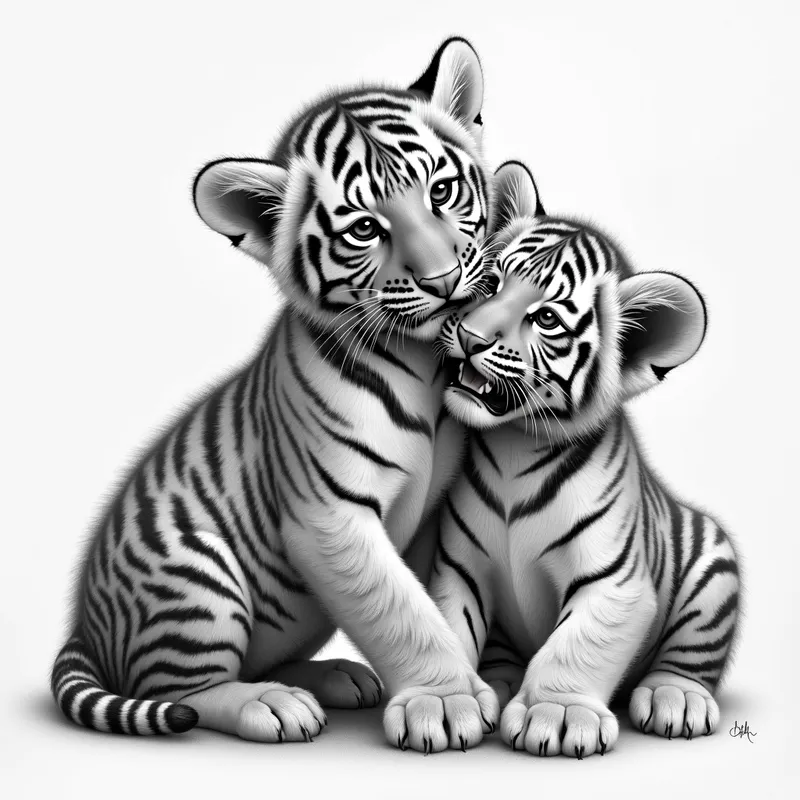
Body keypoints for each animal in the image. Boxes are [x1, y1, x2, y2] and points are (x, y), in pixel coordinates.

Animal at [50, 37, 501, 753]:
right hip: (195, 578)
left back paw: (335, 677)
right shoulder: (331, 516)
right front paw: (445, 701)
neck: (426, 364)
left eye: (442, 190)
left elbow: (432, 599)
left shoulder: (434, 512)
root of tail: (85, 629)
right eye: (365, 230)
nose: (443, 280)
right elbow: (399, 609)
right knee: (181, 691)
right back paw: (273, 704)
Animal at [430, 161, 741, 758]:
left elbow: (576, 646)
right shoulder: (458, 569)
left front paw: (557, 715)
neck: (513, 443)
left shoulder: (612, 583)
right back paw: (500, 683)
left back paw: (676, 699)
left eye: (547, 319)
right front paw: (446, 704)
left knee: (689, 658)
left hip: (714, 570)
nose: (471, 336)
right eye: (491, 281)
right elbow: (447, 626)